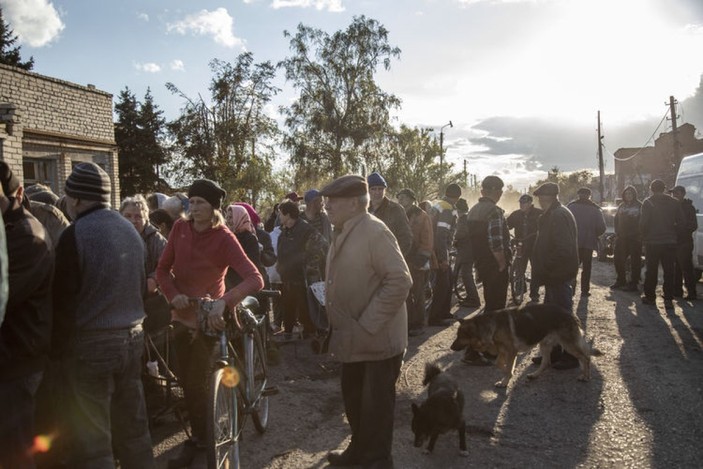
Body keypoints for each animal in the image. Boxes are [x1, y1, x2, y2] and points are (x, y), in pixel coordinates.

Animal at [452, 302, 592, 386]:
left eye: (460, 337)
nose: (451, 347)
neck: (491, 327)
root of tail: (571, 314)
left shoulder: (511, 351)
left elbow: (507, 367)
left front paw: (506, 380)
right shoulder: (503, 351)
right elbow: (498, 364)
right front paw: (508, 375)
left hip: (568, 344)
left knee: (585, 357)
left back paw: (585, 376)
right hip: (545, 344)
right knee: (546, 362)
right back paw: (534, 375)